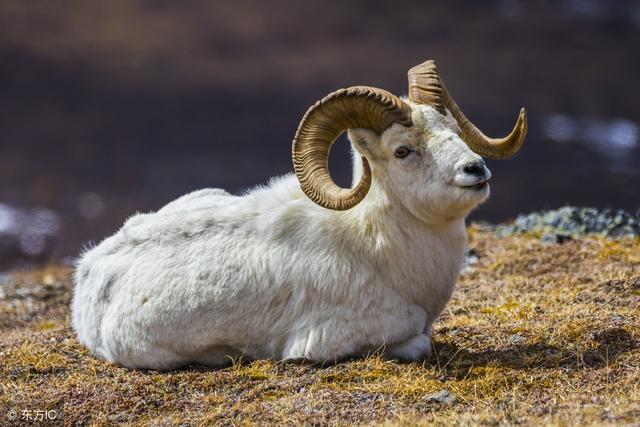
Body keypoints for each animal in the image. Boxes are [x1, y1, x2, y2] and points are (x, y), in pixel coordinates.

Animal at [72, 58, 528, 370]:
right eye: (403, 151)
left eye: (454, 130)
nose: (475, 170)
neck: (377, 249)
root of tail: (89, 269)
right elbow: (419, 341)